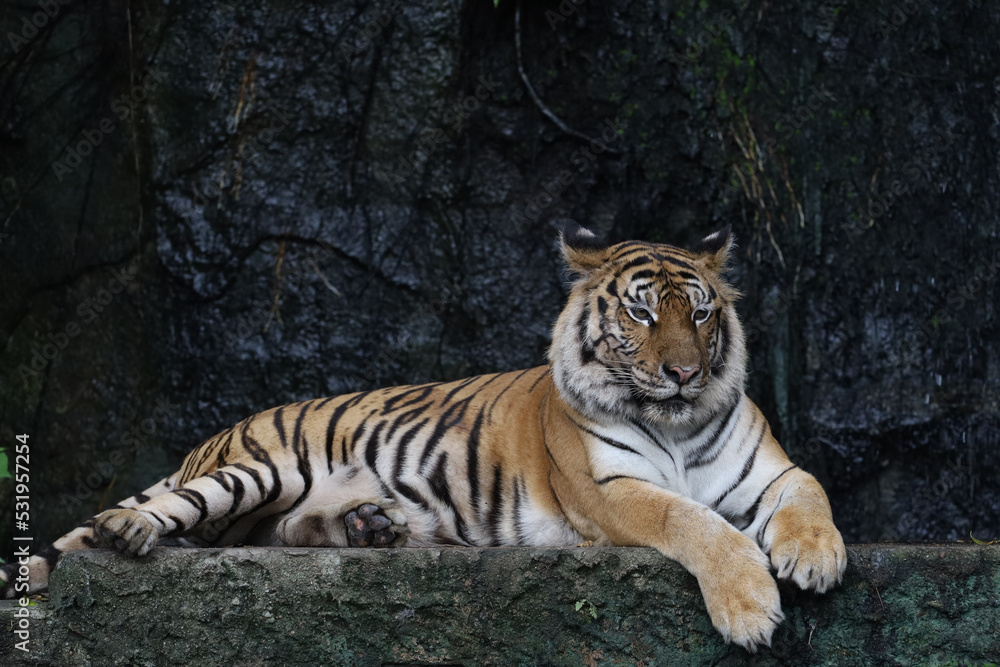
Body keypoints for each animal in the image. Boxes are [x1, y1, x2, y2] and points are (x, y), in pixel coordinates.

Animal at [1, 223, 846, 651]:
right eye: (640, 313)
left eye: (700, 312)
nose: (682, 372)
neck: (676, 421)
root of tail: (216, 435)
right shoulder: (610, 492)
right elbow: (693, 520)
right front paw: (750, 610)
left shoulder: (769, 470)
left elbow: (810, 490)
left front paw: (815, 556)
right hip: (257, 469)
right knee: (166, 512)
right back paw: (129, 531)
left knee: (282, 529)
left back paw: (372, 526)